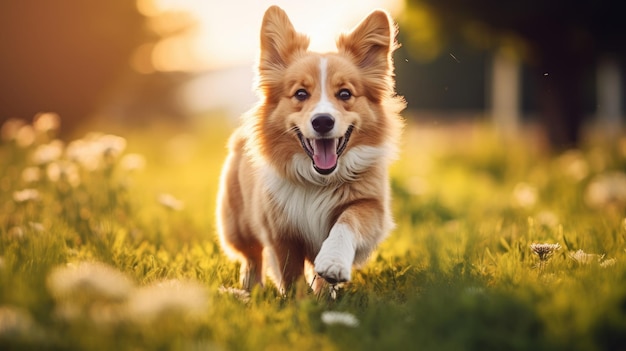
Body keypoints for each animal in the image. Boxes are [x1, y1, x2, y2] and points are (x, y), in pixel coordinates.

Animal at [216, 5, 404, 294]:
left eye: (345, 94)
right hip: (237, 224)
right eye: (301, 94)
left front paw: (333, 265)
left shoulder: (370, 205)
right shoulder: (280, 232)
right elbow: (290, 273)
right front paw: (297, 300)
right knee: (251, 256)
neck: (318, 181)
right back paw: (250, 290)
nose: (323, 121)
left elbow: (347, 223)